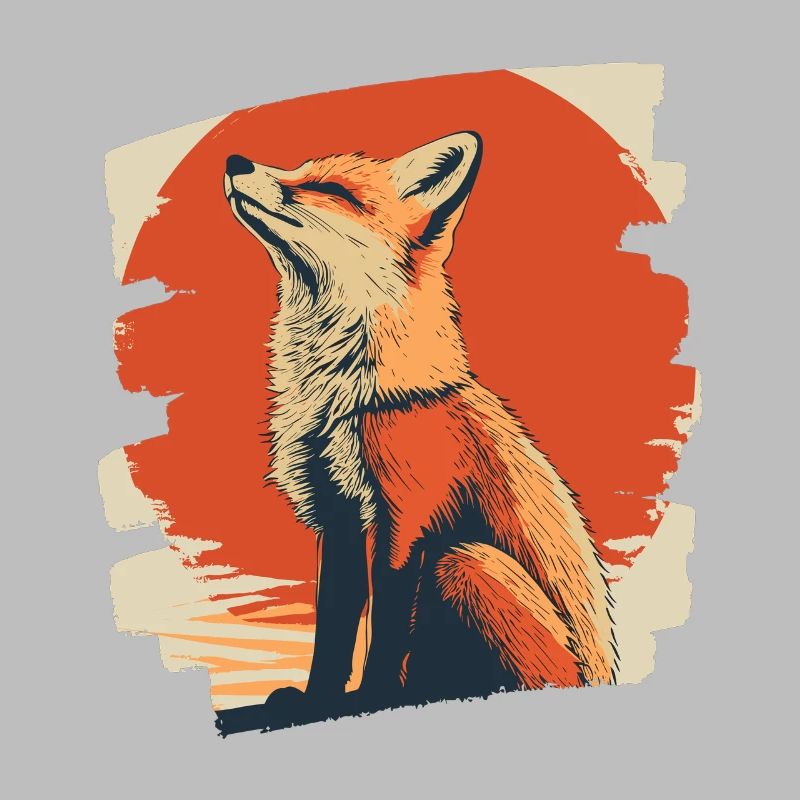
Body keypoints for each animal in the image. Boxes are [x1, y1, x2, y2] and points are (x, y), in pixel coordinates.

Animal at [223, 131, 617, 727]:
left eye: (329, 189)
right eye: (299, 169)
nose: (234, 160)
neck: (348, 399)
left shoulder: (406, 521)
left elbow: (386, 632)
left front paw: (374, 698)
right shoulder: (337, 517)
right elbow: (333, 629)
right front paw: (317, 702)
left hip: (464, 562)